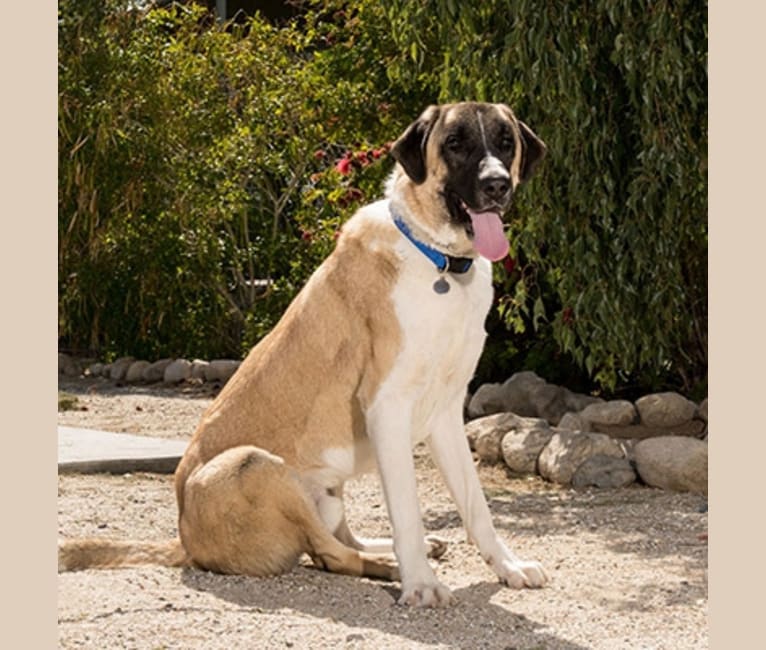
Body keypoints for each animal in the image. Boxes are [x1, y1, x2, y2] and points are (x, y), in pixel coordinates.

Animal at [60, 98, 552, 604]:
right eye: (455, 143)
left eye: (506, 142)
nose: (497, 184)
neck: (438, 261)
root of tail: (184, 539)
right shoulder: (387, 406)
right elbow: (407, 512)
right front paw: (420, 583)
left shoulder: (445, 411)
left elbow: (476, 506)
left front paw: (508, 566)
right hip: (253, 465)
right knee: (330, 554)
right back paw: (392, 567)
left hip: (326, 490)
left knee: (340, 540)